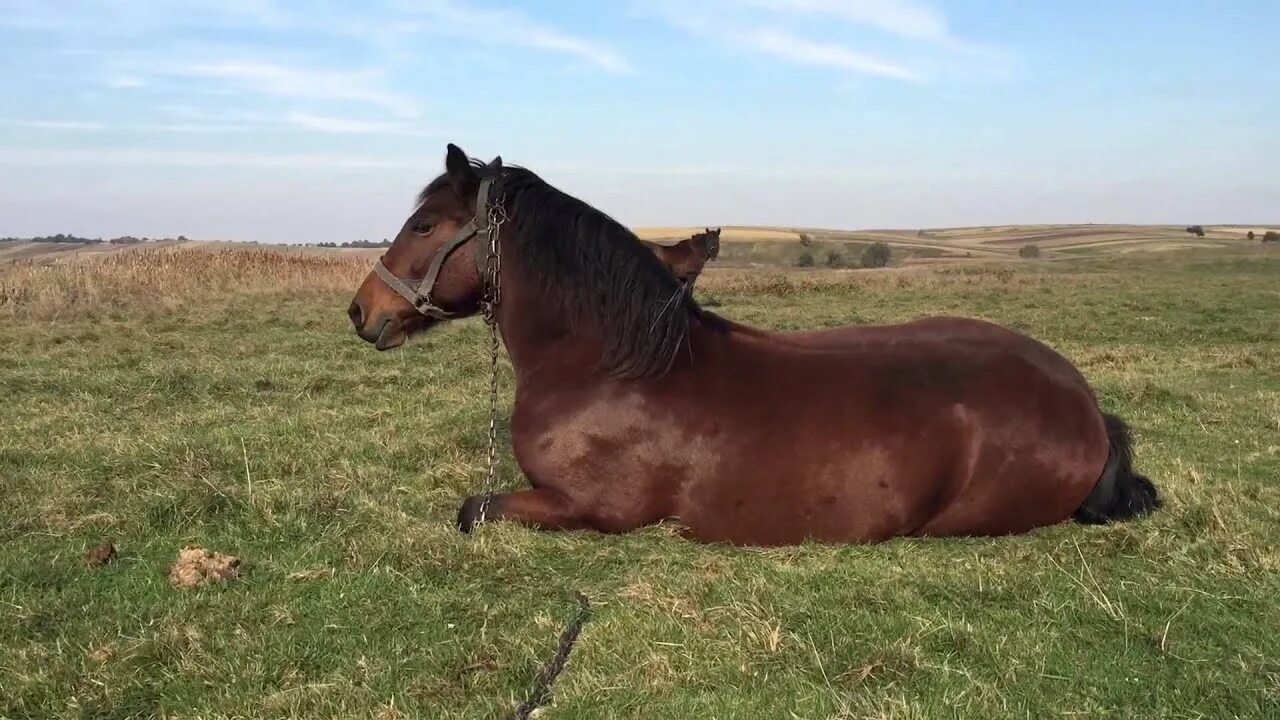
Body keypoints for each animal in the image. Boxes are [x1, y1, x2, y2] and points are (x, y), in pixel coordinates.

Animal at [348, 147, 1162, 548]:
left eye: (424, 225)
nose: (362, 311)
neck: (609, 366)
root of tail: (1086, 407)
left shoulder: (594, 509)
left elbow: (472, 511)